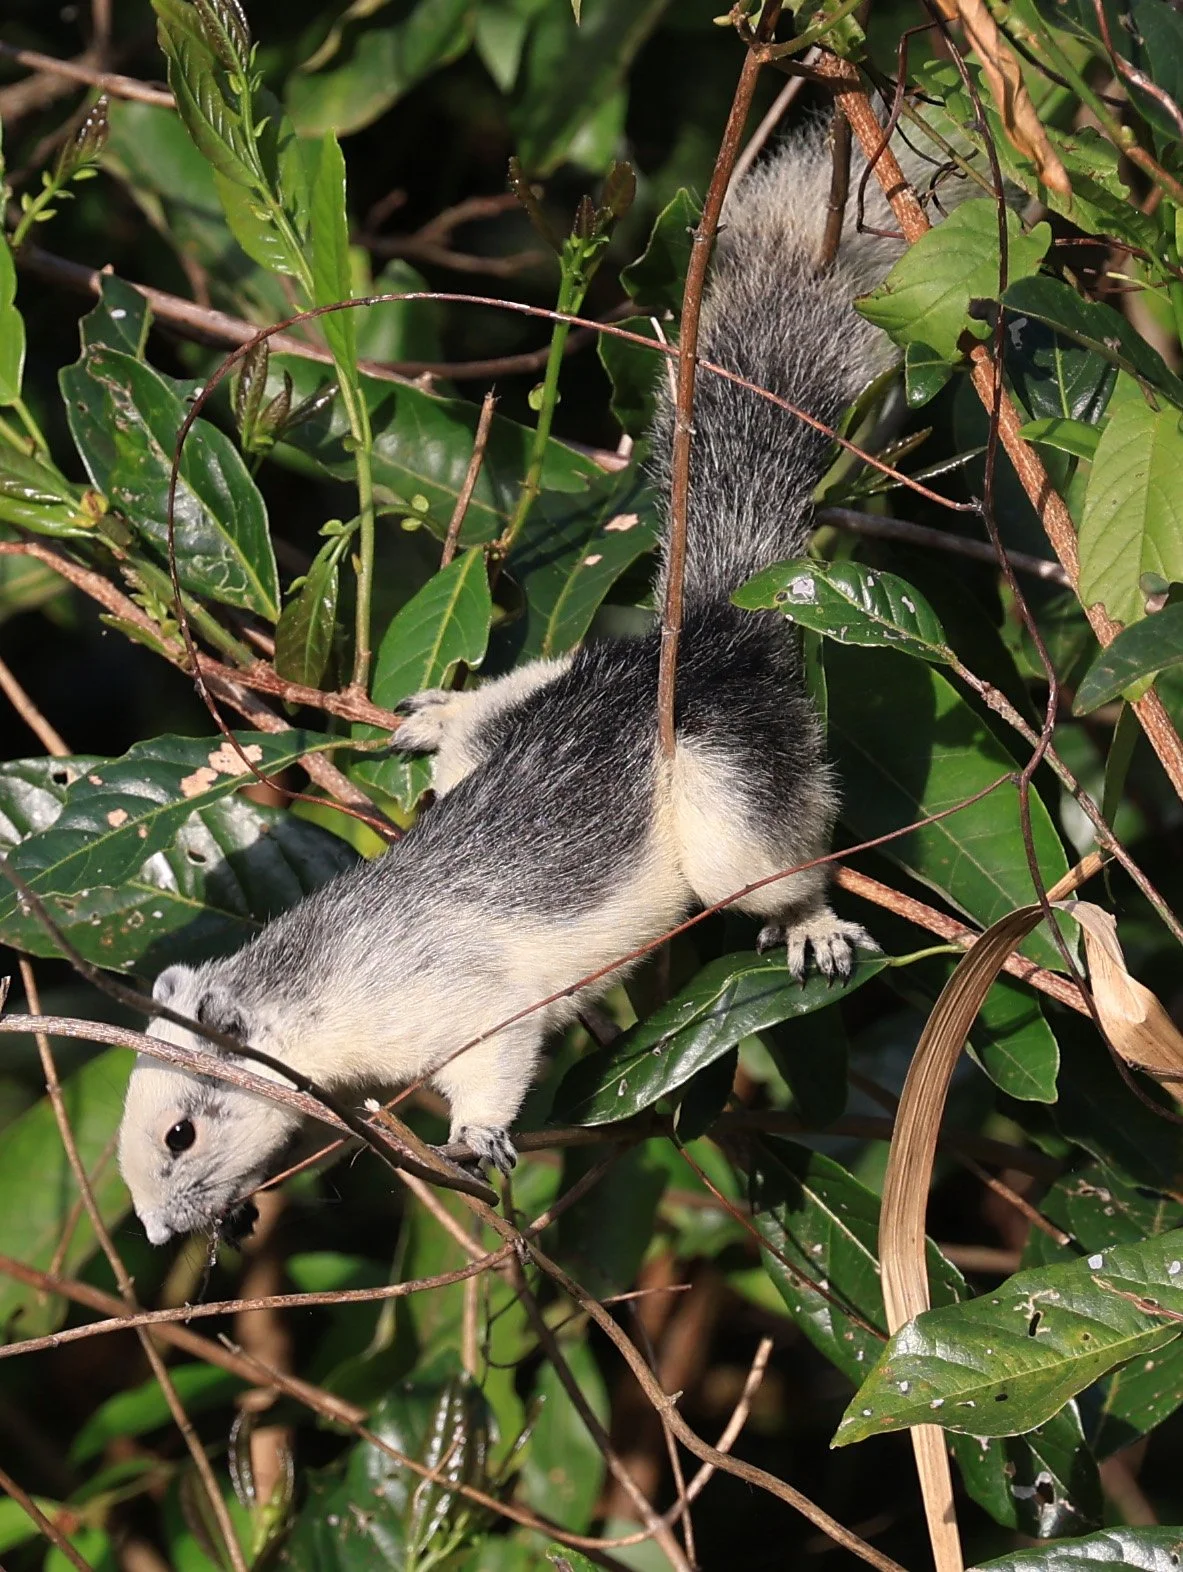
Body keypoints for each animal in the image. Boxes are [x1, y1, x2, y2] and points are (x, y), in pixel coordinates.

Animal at [118, 121, 931, 1247]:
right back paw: (442, 711)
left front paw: (475, 1140)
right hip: (519, 723)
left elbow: (494, 1062)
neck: (318, 992)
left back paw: (808, 925)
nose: (160, 1236)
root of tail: (710, 623)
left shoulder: (464, 996)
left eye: (180, 1134)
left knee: (763, 862)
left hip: (725, 776)